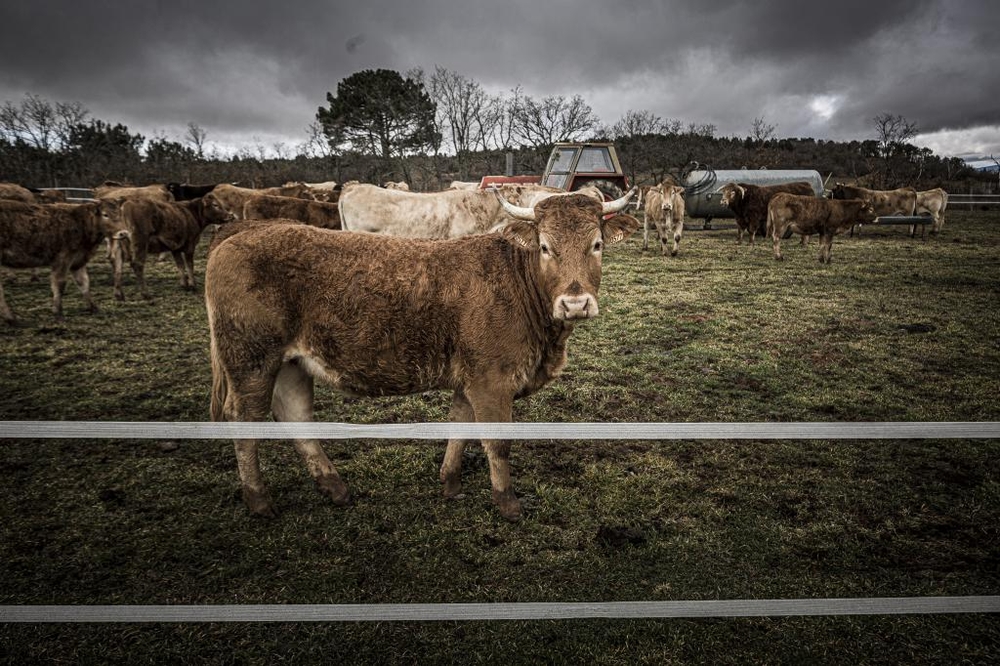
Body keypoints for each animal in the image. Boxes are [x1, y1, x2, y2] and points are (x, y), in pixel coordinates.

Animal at [0, 197, 129, 322]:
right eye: (105, 214)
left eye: (121, 213)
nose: (123, 233)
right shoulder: (63, 259)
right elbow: (59, 284)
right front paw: (58, 313)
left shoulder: (78, 261)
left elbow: (84, 283)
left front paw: (94, 308)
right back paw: (10, 317)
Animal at [205, 187, 640, 520]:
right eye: (546, 247)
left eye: (597, 244)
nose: (575, 303)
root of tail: (237, 234)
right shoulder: (492, 380)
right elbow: (496, 442)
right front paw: (508, 504)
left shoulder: (470, 378)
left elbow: (460, 429)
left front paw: (450, 483)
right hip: (250, 360)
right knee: (244, 420)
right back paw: (259, 500)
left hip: (291, 363)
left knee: (295, 414)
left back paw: (335, 487)